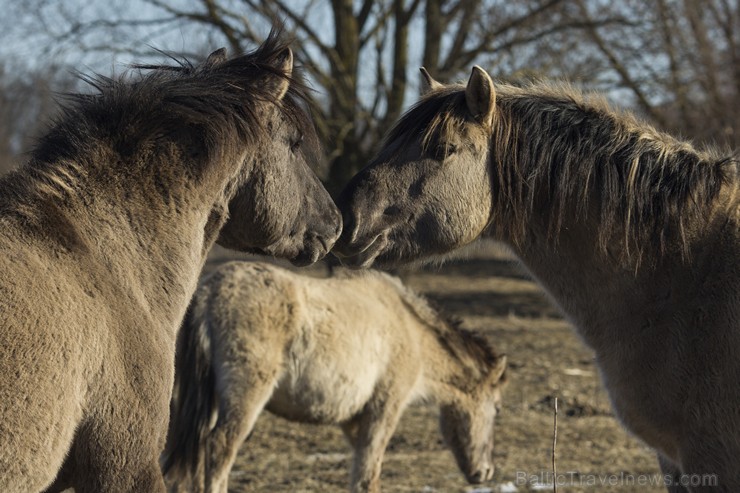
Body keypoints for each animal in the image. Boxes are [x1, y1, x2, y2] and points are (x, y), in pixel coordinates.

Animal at [162, 260, 508, 490]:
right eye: (497, 408)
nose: (486, 473)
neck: (411, 331)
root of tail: (209, 291)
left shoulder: (355, 421)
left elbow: (360, 471)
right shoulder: (384, 410)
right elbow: (369, 474)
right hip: (244, 398)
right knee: (220, 448)